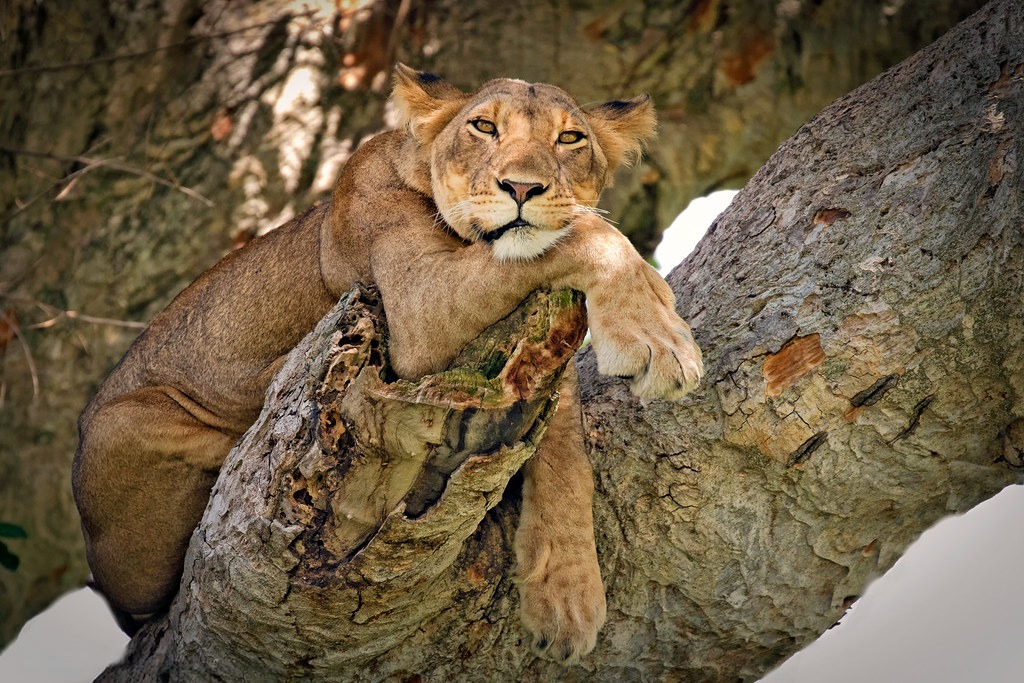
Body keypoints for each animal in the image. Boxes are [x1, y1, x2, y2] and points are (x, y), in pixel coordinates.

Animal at [72, 64, 703, 664]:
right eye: (484, 127)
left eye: (570, 137)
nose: (522, 187)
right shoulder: (415, 313)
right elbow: (587, 228)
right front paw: (662, 338)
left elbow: (566, 454)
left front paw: (568, 598)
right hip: (123, 428)